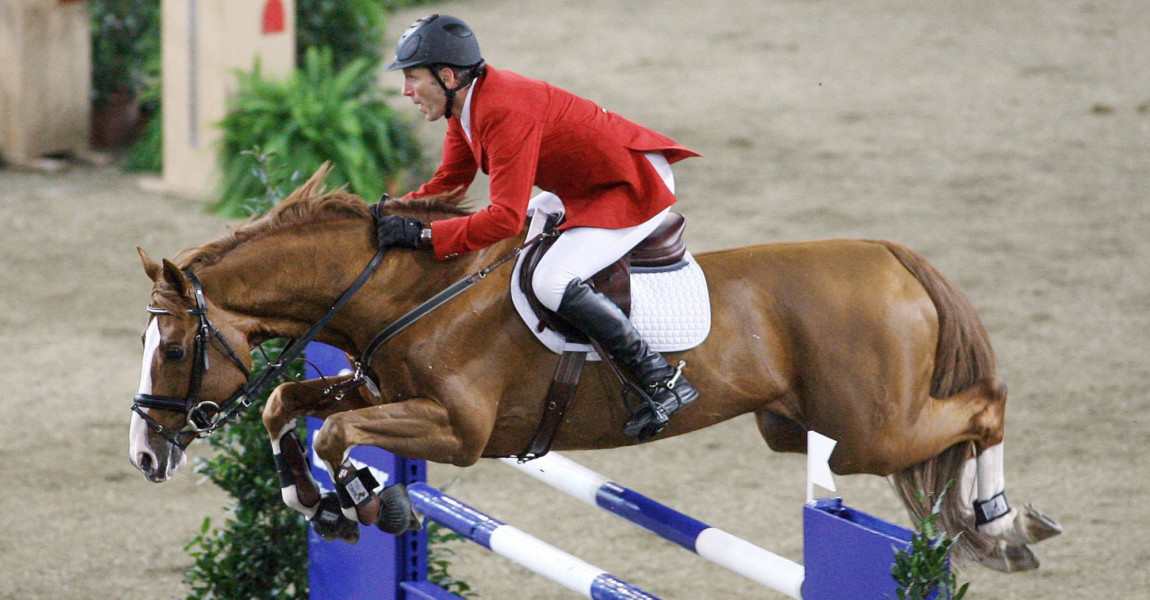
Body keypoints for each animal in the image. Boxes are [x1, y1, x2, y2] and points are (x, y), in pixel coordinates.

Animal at [128, 164, 1058, 570]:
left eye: (172, 349)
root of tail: (889, 256)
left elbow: (336, 432)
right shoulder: (376, 387)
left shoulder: (460, 431)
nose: (143, 454)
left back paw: (1008, 520)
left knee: (987, 404)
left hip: (873, 430)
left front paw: (367, 498)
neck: (413, 290)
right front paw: (320, 501)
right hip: (801, 429)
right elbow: (289, 403)